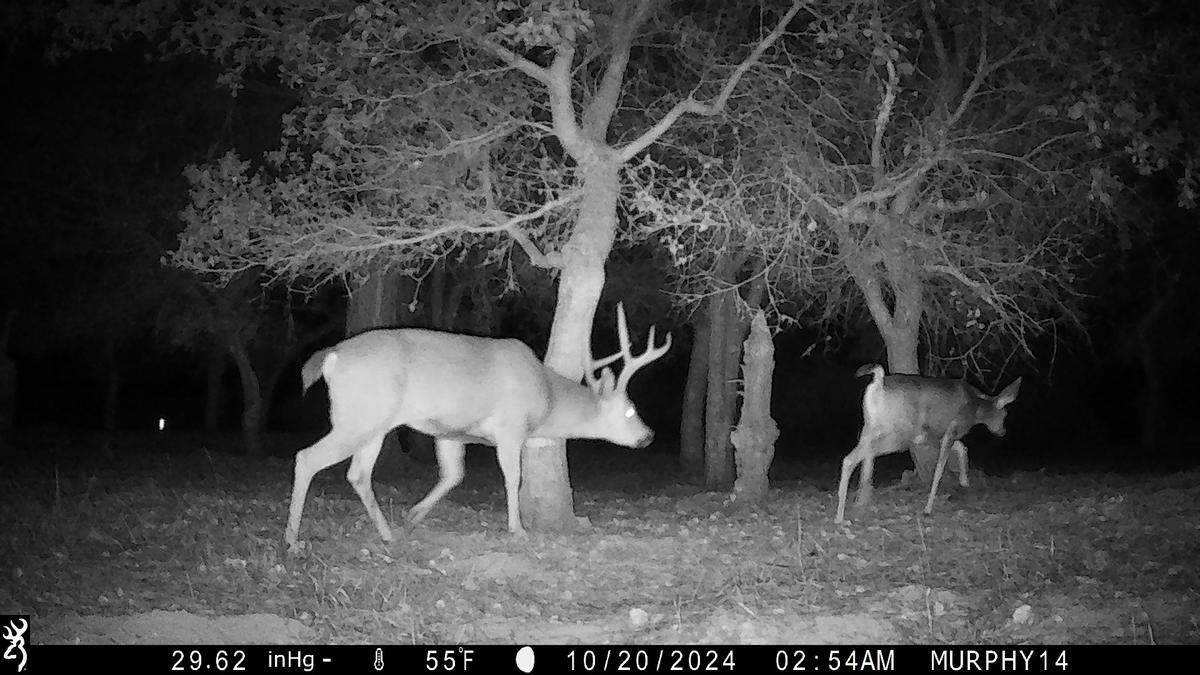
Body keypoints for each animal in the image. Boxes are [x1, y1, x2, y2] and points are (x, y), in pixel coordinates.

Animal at [285, 303, 671, 550]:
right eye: (630, 411)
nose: (648, 436)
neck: (545, 395)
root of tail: (331, 356)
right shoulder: (510, 426)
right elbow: (512, 478)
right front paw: (517, 530)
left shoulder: (449, 432)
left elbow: (453, 475)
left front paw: (413, 516)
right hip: (360, 413)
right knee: (307, 458)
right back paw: (291, 539)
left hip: (374, 423)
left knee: (358, 474)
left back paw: (388, 533)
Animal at [835, 364, 1021, 523]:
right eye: (1005, 414)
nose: (1002, 431)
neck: (976, 408)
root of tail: (878, 384)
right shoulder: (951, 430)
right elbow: (939, 470)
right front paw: (928, 508)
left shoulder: (935, 435)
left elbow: (962, 448)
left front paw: (964, 481)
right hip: (898, 434)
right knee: (852, 458)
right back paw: (840, 515)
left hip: (870, 428)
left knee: (861, 456)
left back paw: (855, 503)